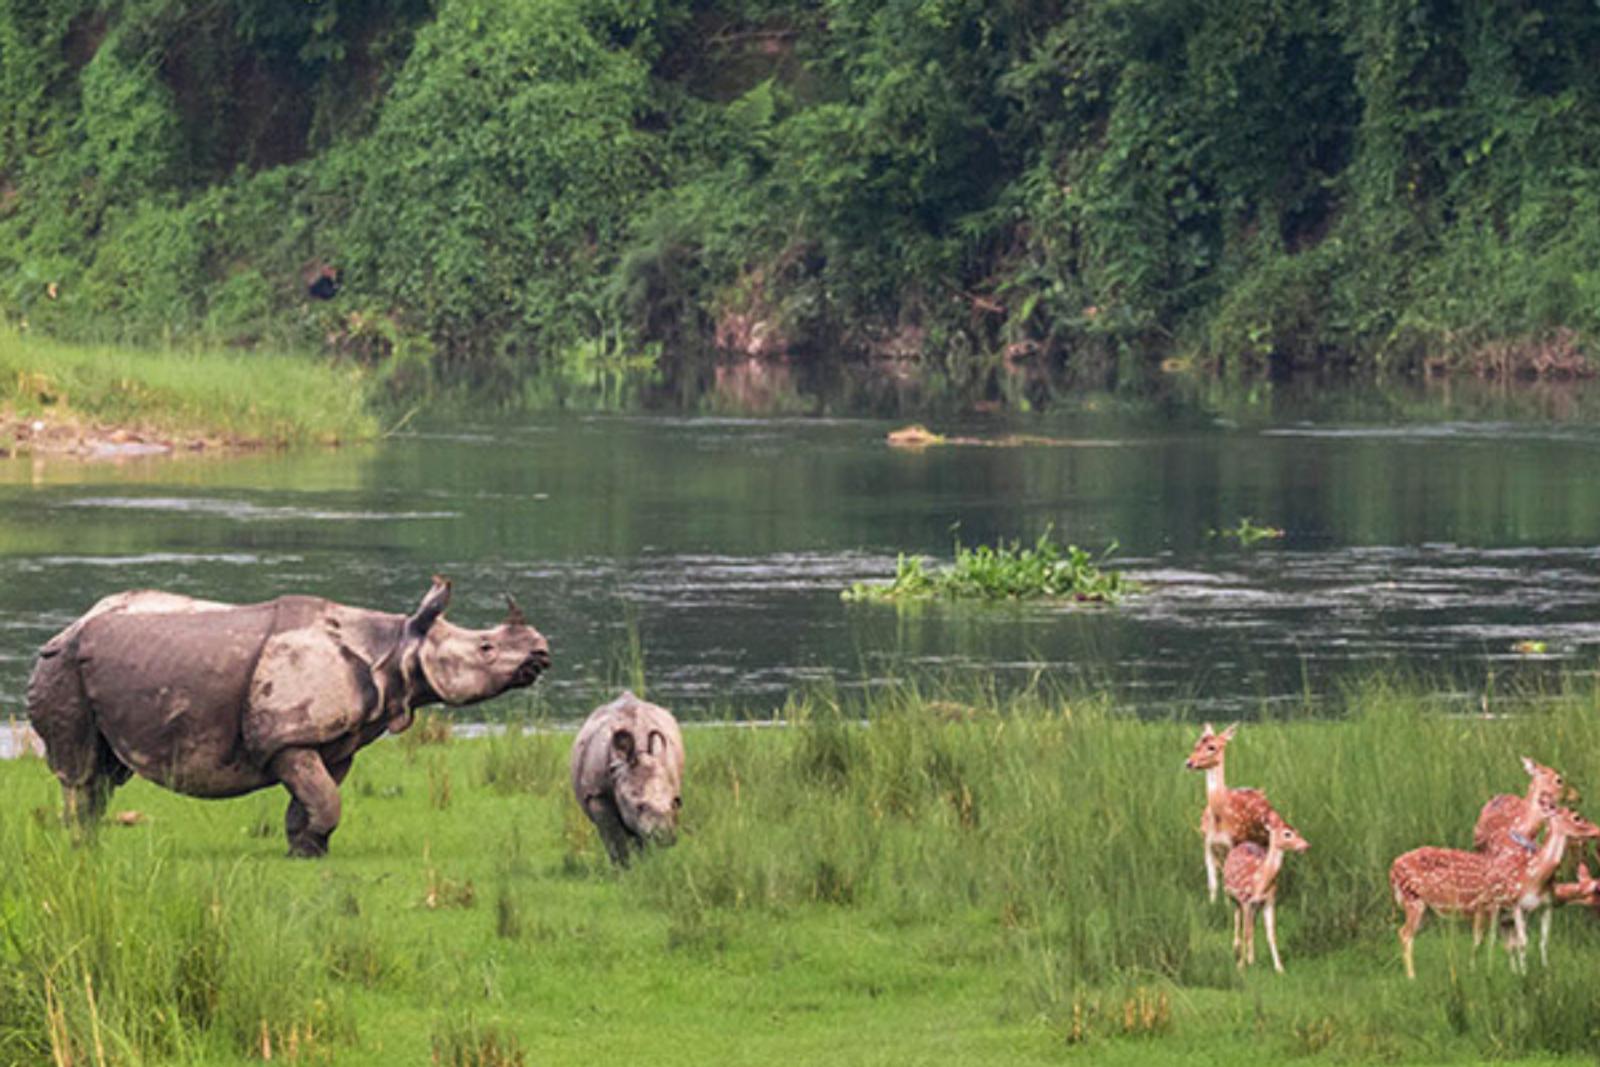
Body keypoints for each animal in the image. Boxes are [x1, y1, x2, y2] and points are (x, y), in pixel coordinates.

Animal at [29, 579, 550, 857]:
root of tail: (70, 625)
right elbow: (323, 797)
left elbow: (317, 795)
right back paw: (82, 847)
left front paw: (306, 850)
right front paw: (312, 844)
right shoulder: (284, 737)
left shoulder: (331, 742)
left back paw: (91, 842)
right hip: (62, 664)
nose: (542, 652)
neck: (398, 645)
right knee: (79, 771)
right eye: (486, 647)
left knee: (104, 772)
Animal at [569, 697, 681, 863]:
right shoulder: (597, 794)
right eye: (640, 806)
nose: (664, 837)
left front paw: (648, 864)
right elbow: (615, 839)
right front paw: (624, 868)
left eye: (675, 803)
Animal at [1190, 723, 1273, 908]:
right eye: (1195, 745)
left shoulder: (1235, 842)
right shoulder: (1207, 843)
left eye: (1212, 747)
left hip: (1263, 839)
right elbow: (1213, 883)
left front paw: (1227, 907)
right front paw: (1212, 905)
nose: (1189, 762)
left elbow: (1229, 880)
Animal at [1228, 812, 1305, 972]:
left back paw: (1250, 957)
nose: (1306, 845)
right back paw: (1237, 949)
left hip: (1255, 906)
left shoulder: (1270, 900)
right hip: (1231, 896)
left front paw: (1279, 967)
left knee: (1251, 925)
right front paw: (1241, 966)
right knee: (1237, 918)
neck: (1259, 882)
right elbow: (1245, 932)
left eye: (1298, 831)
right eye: (1287, 834)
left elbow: (1271, 934)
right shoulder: (1245, 900)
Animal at [1388, 809, 1600, 979]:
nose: (1597, 830)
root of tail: (1392, 868)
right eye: (1577, 817)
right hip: (1413, 899)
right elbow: (1481, 943)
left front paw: (1521, 974)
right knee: (1405, 934)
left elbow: (1516, 945)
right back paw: (1412, 977)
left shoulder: (1507, 917)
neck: (1529, 874)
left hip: (1426, 909)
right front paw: (1476, 973)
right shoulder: (1489, 908)